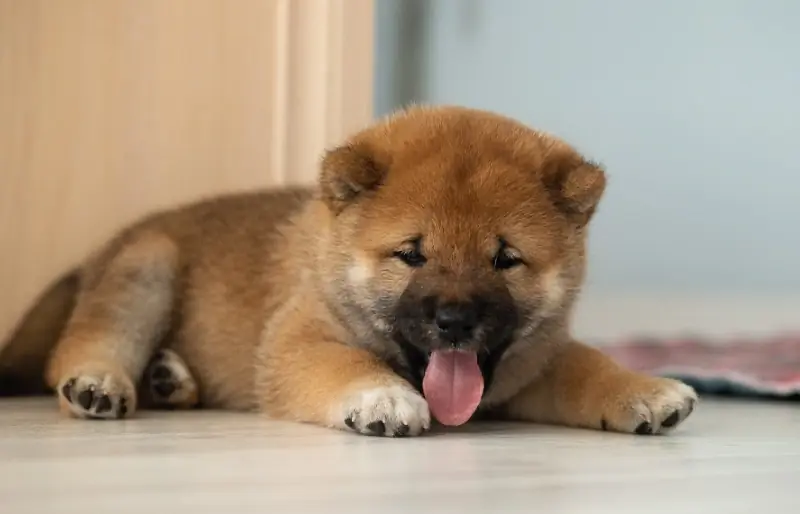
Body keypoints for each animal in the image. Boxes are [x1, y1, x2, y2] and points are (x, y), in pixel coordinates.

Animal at [0, 106, 692, 434]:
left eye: (505, 258)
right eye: (412, 253)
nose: (455, 321)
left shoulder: (533, 367)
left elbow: (586, 365)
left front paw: (642, 388)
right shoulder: (298, 341)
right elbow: (344, 364)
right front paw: (381, 396)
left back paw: (171, 381)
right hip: (148, 267)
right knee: (81, 347)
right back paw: (101, 382)